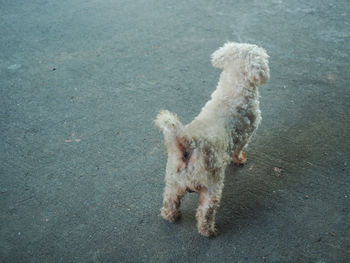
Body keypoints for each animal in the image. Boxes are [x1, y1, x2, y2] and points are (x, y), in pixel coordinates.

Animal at [154, 42, 270, 238]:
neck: (233, 87)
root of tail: (189, 143)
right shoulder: (245, 136)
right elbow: (239, 150)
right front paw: (240, 160)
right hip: (211, 188)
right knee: (204, 214)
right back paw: (209, 231)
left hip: (173, 182)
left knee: (170, 202)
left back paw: (171, 216)